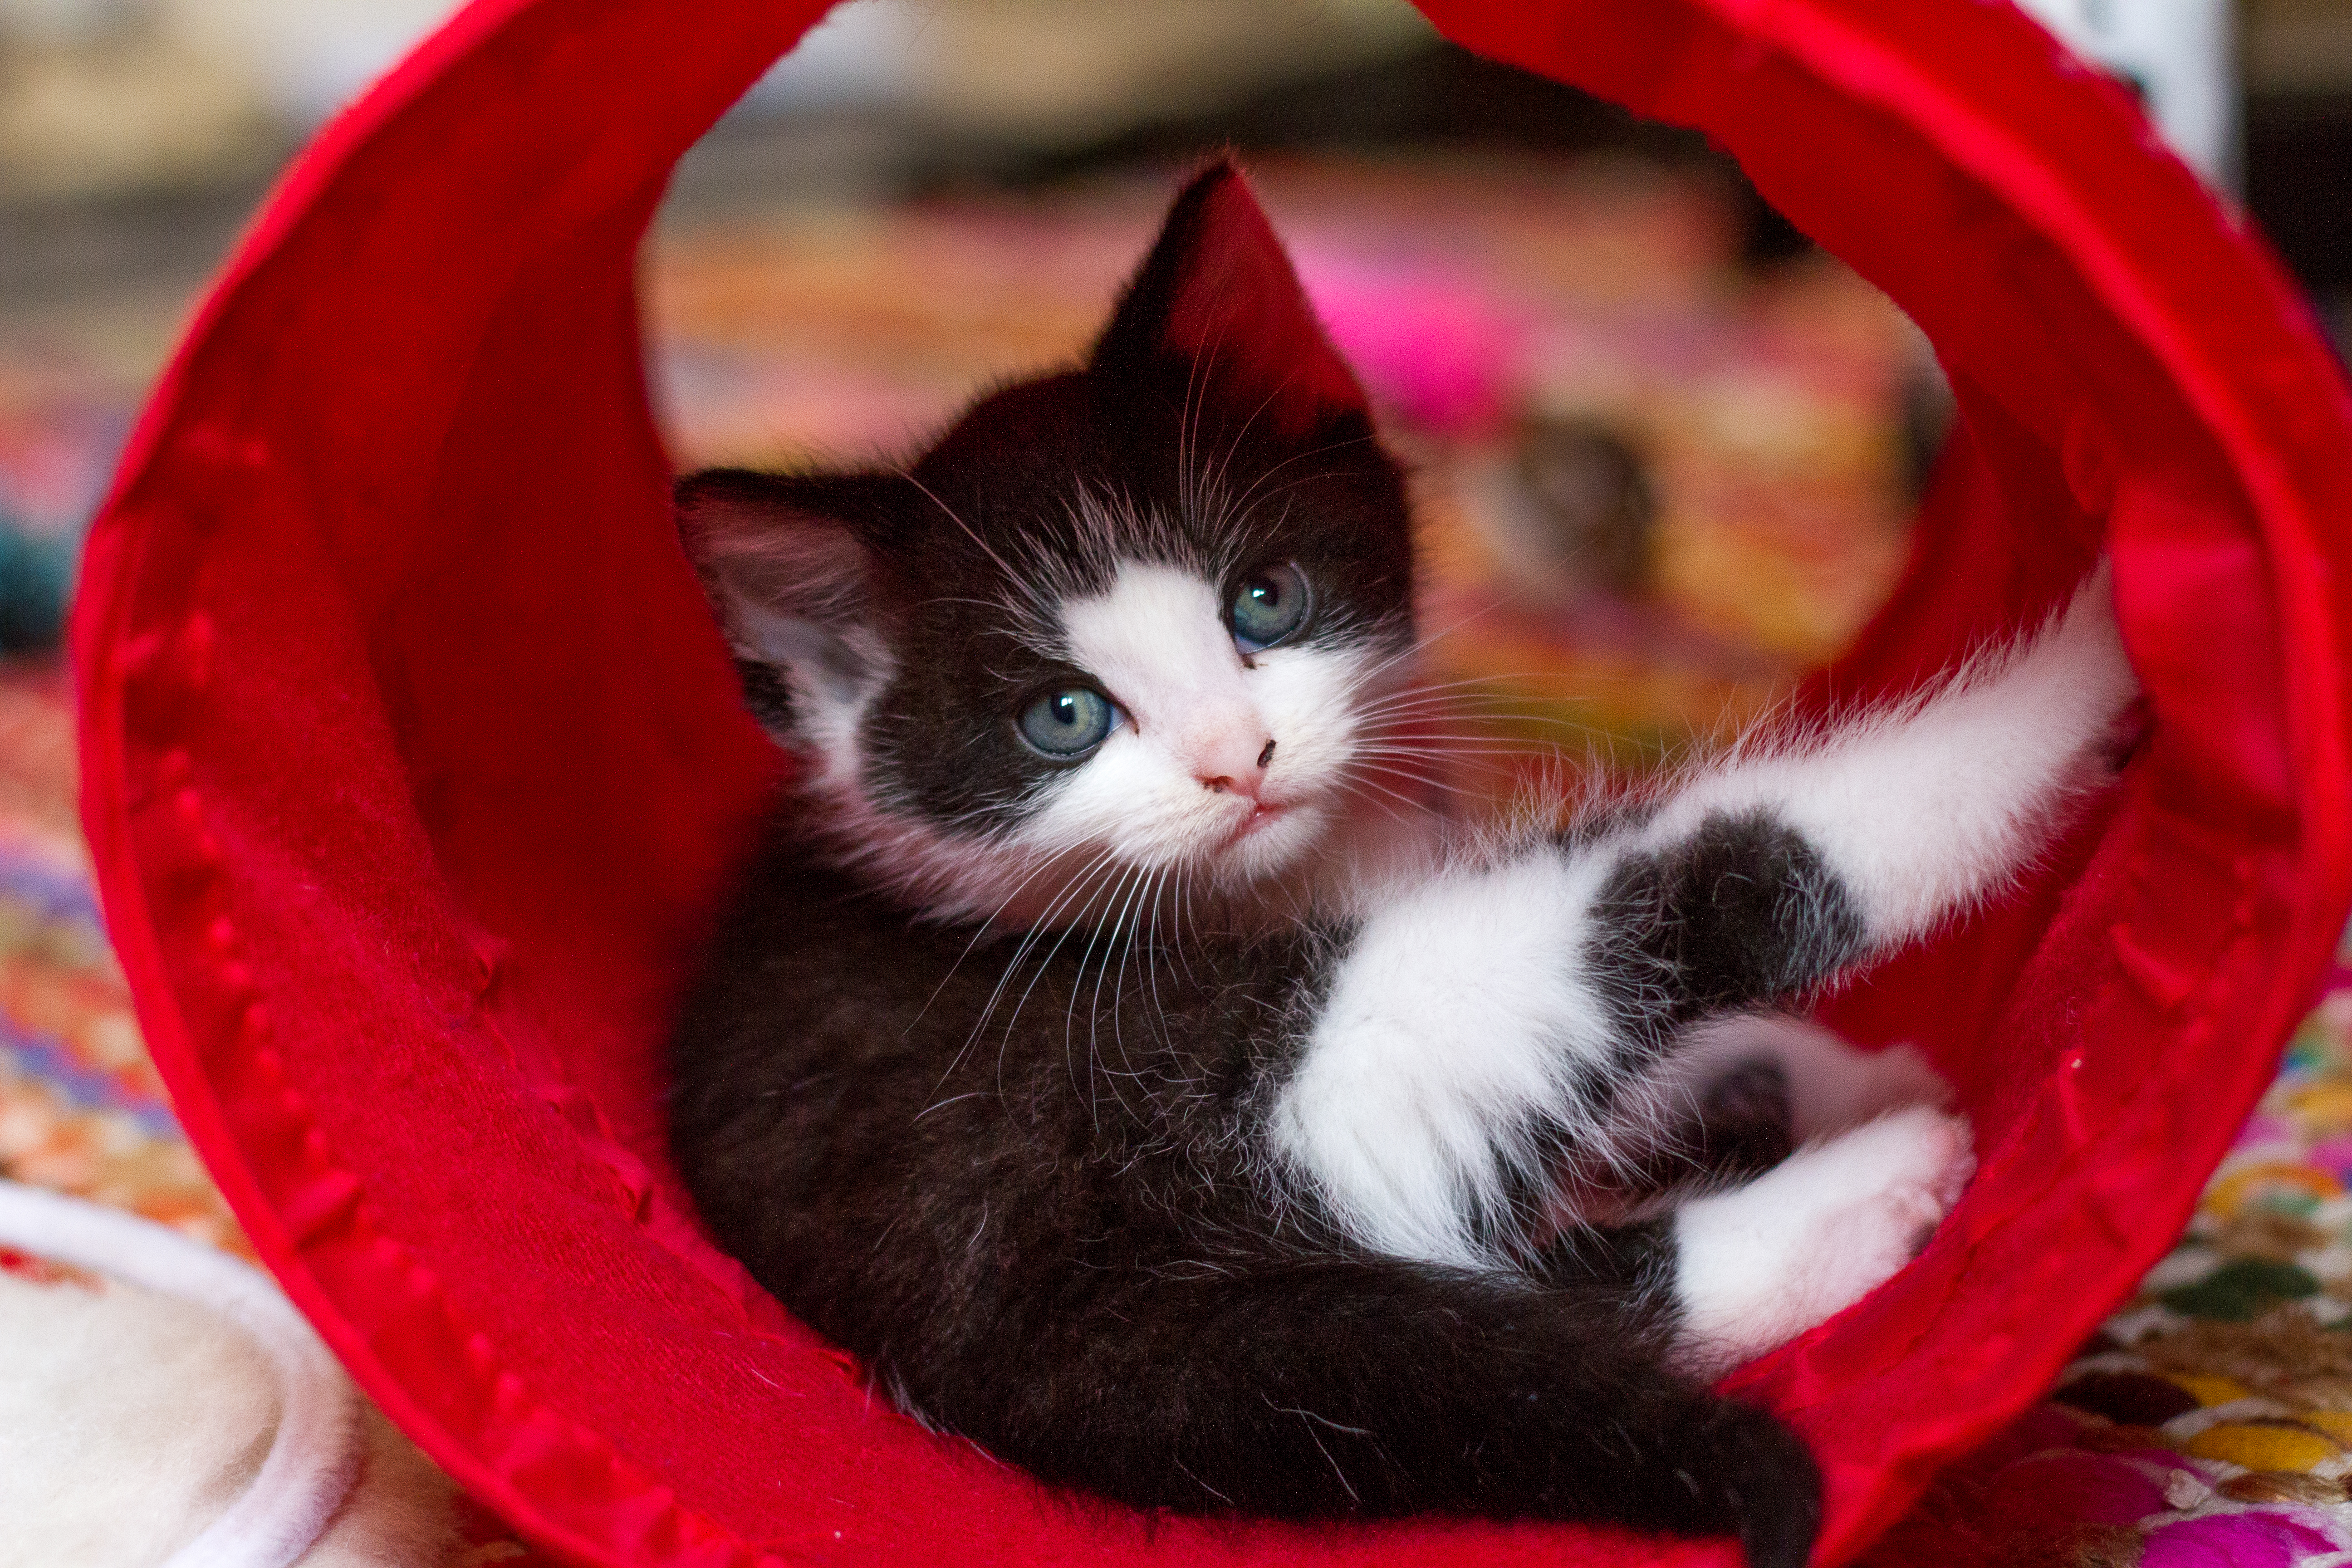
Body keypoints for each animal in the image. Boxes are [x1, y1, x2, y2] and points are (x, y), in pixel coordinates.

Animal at [663, 162, 2136, 1568]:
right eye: (1064, 716)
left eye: (1265, 600)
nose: (1237, 757)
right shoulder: (1234, 1075)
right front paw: (2100, 634)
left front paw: (1824, 1062)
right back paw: (1882, 1179)